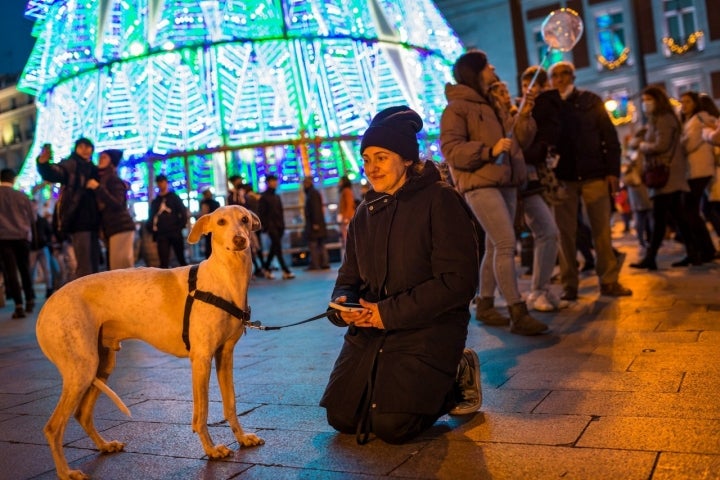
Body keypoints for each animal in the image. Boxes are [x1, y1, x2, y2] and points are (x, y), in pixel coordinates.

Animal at [35, 204, 264, 478]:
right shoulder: (201, 359)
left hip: (101, 365)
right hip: (81, 370)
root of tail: (45, 308)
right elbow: (201, 412)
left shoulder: (225, 355)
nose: (240, 240)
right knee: (52, 427)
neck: (224, 279)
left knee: (82, 414)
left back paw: (104, 445)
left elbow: (230, 403)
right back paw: (66, 472)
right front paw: (211, 450)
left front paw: (242, 438)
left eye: (245, 219)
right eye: (220, 222)